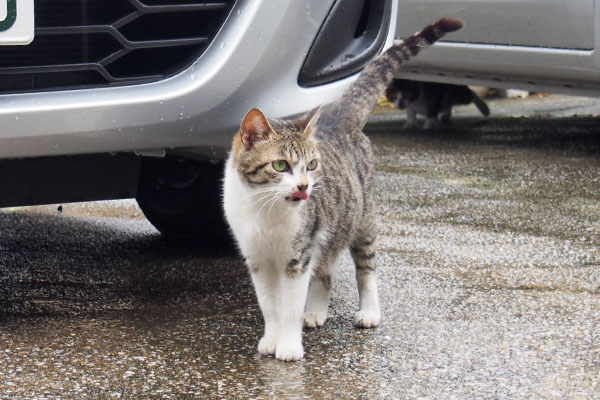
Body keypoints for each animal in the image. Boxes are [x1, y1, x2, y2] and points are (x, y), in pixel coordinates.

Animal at [223, 18, 462, 360]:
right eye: (280, 165)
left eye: (311, 165)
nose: (304, 186)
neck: (265, 209)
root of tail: (340, 119)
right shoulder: (257, 259)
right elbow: (269, 305)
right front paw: (271, 339)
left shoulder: (298, 255)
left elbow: (290, 307)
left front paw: (289, 345)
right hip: (331, 228)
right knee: (326, 270)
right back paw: (316, 312)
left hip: (362, 220)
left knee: (366, 269)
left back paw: (369, 311)